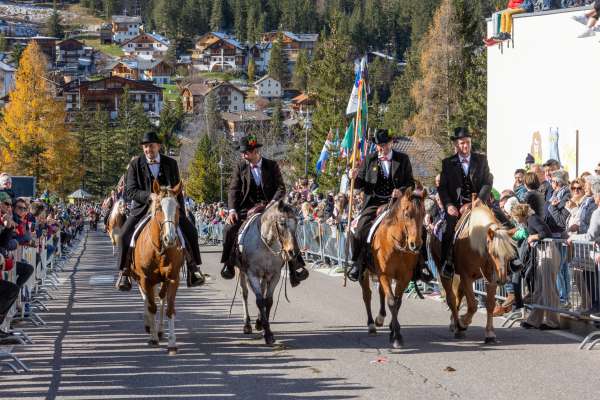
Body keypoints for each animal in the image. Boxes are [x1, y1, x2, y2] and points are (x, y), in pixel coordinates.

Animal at [127, 180, 182, 354]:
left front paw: (172, 343)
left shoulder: (172, 278)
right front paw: (153, 338)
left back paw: (159, 329)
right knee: (147, 298)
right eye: (158, 208)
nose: (170, 238)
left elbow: (169, 308)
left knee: (161, 297)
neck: (159, 249)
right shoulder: (145, 278)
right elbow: (151, 306)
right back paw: (149, 326)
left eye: (178, 207)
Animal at [236, 202, 298, 346]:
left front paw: (266, 330)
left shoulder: (274, 275)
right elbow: (259, 300)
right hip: (241, 272)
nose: (292, 252)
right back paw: (247, 324)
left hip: (264, 276)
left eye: (296, 223)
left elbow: (268, 301)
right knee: (244, 293)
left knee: (262, 291)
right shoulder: (252, 274)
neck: (265, 244)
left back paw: (259, 322)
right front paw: (267, 333)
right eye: (282, 223)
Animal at [358, 189, 424, 348]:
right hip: (365, 273)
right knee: (367, 295)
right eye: (407, 214)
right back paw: (371, 324)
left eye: (424, 213)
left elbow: (397, 302)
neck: (396, 245)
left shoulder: (404, 277)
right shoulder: (384, 274)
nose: (416, 245)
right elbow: (392, 302)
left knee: (381, 292)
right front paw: (396, 337)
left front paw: (395, 332)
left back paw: (381, 318)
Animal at [428, 203, 516, 344]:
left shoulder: (490, 279)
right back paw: (458, 326)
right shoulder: (466, 277)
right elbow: (473, 305)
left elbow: (490, 304)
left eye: (509, 254)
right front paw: (463, 322)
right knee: (451, 298)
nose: (502, 280)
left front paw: (489, 333)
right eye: (494, 253)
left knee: (458, 295)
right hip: (443, 271)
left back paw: (454, 324)